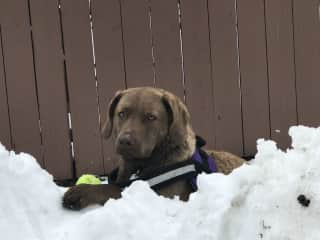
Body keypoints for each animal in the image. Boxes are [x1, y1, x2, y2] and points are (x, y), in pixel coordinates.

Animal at [62, 86, 244, 210]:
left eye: (151, 117)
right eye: (121, 113)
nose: (125, 141)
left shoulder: (165, 196)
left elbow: (114, 188)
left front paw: (80, 192)